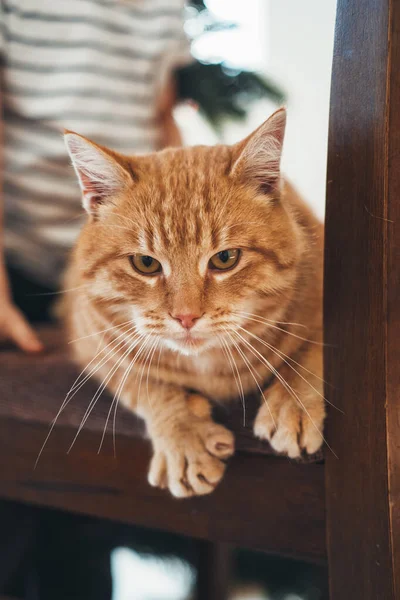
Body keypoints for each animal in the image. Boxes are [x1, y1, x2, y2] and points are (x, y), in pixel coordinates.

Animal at [63, 109, 324, 496]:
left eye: (226, 258)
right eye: (145, 263)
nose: (186, 316)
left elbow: (313, 348)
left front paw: (292, 401)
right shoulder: (92, 343)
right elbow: (144, 384)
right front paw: (183, 437)